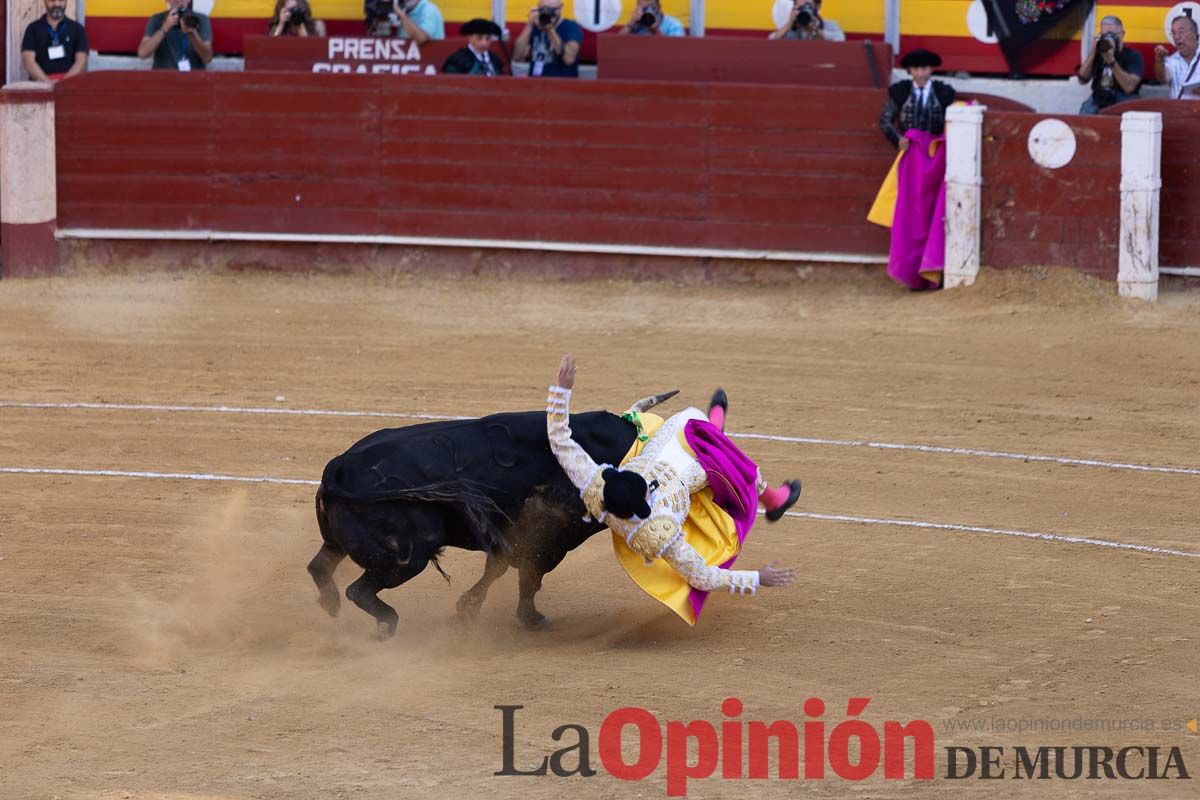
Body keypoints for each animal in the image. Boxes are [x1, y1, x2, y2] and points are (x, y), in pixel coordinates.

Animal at [304, 407, 657, 638]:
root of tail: (339, 467)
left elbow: (506, 570)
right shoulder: (545, 537)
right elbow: (522, 575)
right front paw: (518, 616)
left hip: (341, 543)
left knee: (319, 567)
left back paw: (330, 606)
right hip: (407, 557)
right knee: (359, 590)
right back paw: (385, 626)